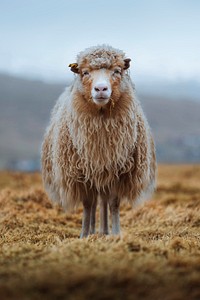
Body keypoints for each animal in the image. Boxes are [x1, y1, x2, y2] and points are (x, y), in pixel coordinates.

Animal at [40, 44, 156, 237]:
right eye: (85, 72)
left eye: (117, 71)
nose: (101, 89)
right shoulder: (81, 174)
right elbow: (88, 205)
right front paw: (84, 234)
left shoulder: (118, 173)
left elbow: (114, 203)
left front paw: (116, 234)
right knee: (95, 202)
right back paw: (94, 230)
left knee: (103, 201)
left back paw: (104, 231)